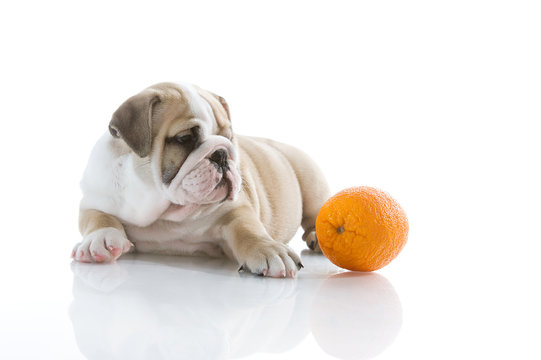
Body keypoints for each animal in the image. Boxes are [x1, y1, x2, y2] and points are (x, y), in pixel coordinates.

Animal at [73, 82, 330, 278]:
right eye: (185, 138)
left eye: (229, 138)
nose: (222, 154)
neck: (164, 209)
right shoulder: (95, 199)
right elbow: (98, 218)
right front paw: (101, 239)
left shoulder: (235, 210)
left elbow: (249, 229)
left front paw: (269, 250)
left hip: (311, 183)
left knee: (316, 214)